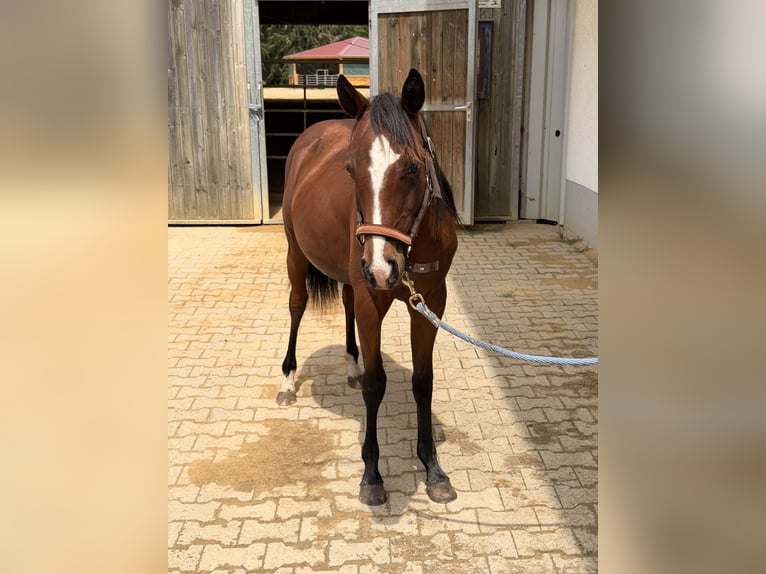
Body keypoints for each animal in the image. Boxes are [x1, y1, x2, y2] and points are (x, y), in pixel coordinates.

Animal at [277, 69, 460, 506]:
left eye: (412, 167)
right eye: (350, 169)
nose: (380, 268)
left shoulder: (431, 302)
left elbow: (423, 382)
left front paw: (433, 469)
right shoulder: (372, 300)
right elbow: (377, 385)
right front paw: (372, 475)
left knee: (344, 304)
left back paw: (350, 366)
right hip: (296, 254)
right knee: (296, 305)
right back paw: (288, 380)